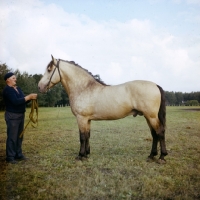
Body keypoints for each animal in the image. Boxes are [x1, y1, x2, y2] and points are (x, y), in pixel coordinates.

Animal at [37, 55, 167, 163]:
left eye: (49, 69)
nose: (39, 87)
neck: (84, 88)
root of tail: (155, 85)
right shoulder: (87, 119)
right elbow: (87, 135)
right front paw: (87, 154)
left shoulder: (81, 118)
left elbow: (82, 137)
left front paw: (80, 155)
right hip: (148, 116)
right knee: (154, 134)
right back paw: (151, 155)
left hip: (151, 116)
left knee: (159, 132)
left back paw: (162, 157)